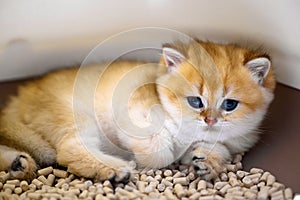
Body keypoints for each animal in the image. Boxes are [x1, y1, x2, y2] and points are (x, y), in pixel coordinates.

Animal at [0, 39, 274, 182]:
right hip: (74, 116)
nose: (209, 120)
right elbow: (158, 151)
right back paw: (114, 169)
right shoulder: (135, 112)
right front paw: (151, 160)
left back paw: (18, 164)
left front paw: (207, 162)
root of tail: (21, 96)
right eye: (195, 101)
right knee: (70, 149)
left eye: (230, 105)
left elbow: (219, 148)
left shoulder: (229, 141)